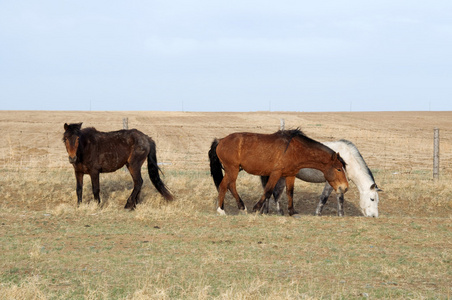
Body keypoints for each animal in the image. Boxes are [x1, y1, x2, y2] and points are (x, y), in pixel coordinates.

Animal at [208, 129, 350, 216]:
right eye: (338, 168)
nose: (345, 187)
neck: (295, 150)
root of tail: (221, 140)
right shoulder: (276, 173)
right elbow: (268, 191)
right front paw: (257, 208)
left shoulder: (291, 174)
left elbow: (290, 192)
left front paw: (292, 211)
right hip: (232, 169)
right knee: (224, 185)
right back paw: (221, 210)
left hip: (232, 170)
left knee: (230, 185)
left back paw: (241, 207)